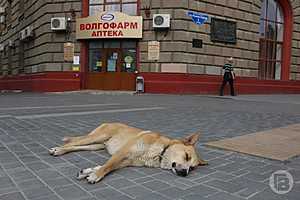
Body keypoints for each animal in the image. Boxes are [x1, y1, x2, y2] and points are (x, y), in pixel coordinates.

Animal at [49, 122, 209, 184]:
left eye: (192, 168)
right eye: (187, 156)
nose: (185, 173)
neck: (160, 151)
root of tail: (109, 122)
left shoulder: (126, 161)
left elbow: (106, 166)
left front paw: (88, 172)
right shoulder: (122, 152)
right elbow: (107, 166)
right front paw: (95, 175)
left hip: (95, 146)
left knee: (76, 147)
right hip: (97, 137)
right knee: (72, 143)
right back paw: (58, 149)